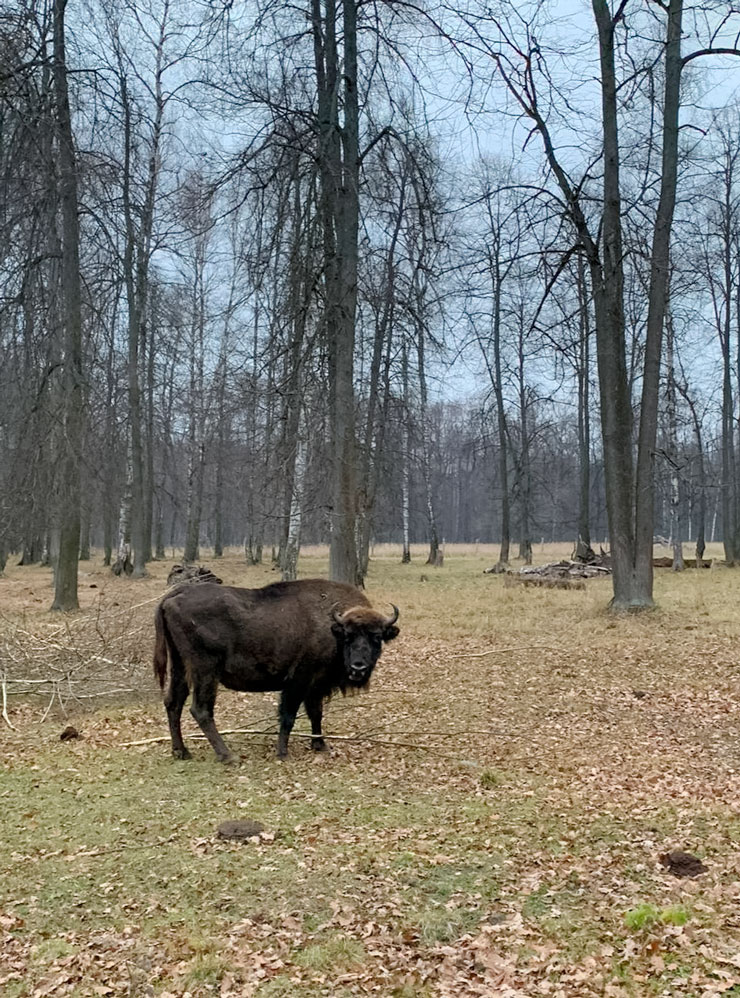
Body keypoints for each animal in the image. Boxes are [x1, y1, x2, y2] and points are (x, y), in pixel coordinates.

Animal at [152, 580, 402, 764]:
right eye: (348, 636)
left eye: (376, 637)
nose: (359, 667)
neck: (332, 628)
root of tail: (174, 595)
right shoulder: (298, 681)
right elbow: (288, 716)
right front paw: (283, 753)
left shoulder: (315, 686)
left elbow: (316, 713)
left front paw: (320, 745)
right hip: (205, 671)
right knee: (200, 709)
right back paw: (228, 756)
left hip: (180, 666)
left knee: (173, 702)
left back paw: (181, 752)